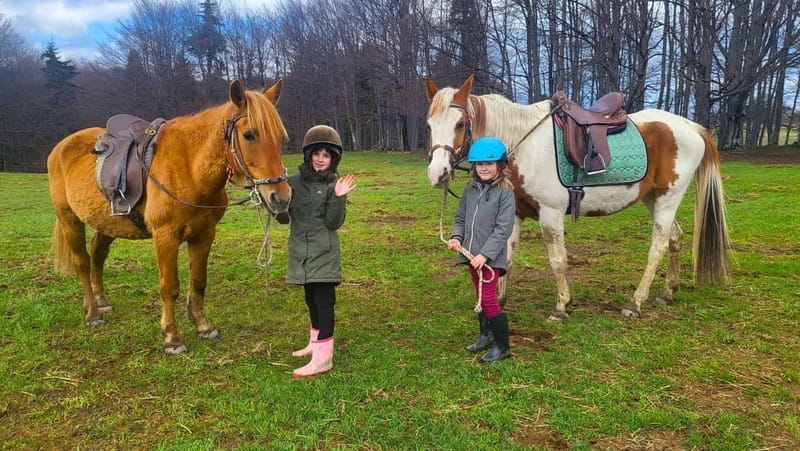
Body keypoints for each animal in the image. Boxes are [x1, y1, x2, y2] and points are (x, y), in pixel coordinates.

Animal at [47, 79, 291, 353]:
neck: (190, 170)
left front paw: (203, 325)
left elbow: (199, 280)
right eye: (249, 135)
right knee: (82, 262)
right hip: (69, 220)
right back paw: (92, 313)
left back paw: (102, 301)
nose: (280, 197)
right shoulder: (165, 236)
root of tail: (61, 147)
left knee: (98, 256)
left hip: (107, 224)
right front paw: (172, 337)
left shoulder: (204, 234)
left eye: (280, 137)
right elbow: (169, 287)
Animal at [424, 75, 731, 319]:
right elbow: (505, 258)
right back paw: (668, 292)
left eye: (460, 123)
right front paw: (499, 300)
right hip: (653, 199)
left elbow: (558, 260)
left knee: (658, 247)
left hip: (668, 199)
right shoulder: (514, 213)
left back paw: (635, 302)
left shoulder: (550, 215)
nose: (438, 173)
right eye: (429, 125)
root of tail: (693, 128)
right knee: (676, 238)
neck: (522, 145)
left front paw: (562, 306)